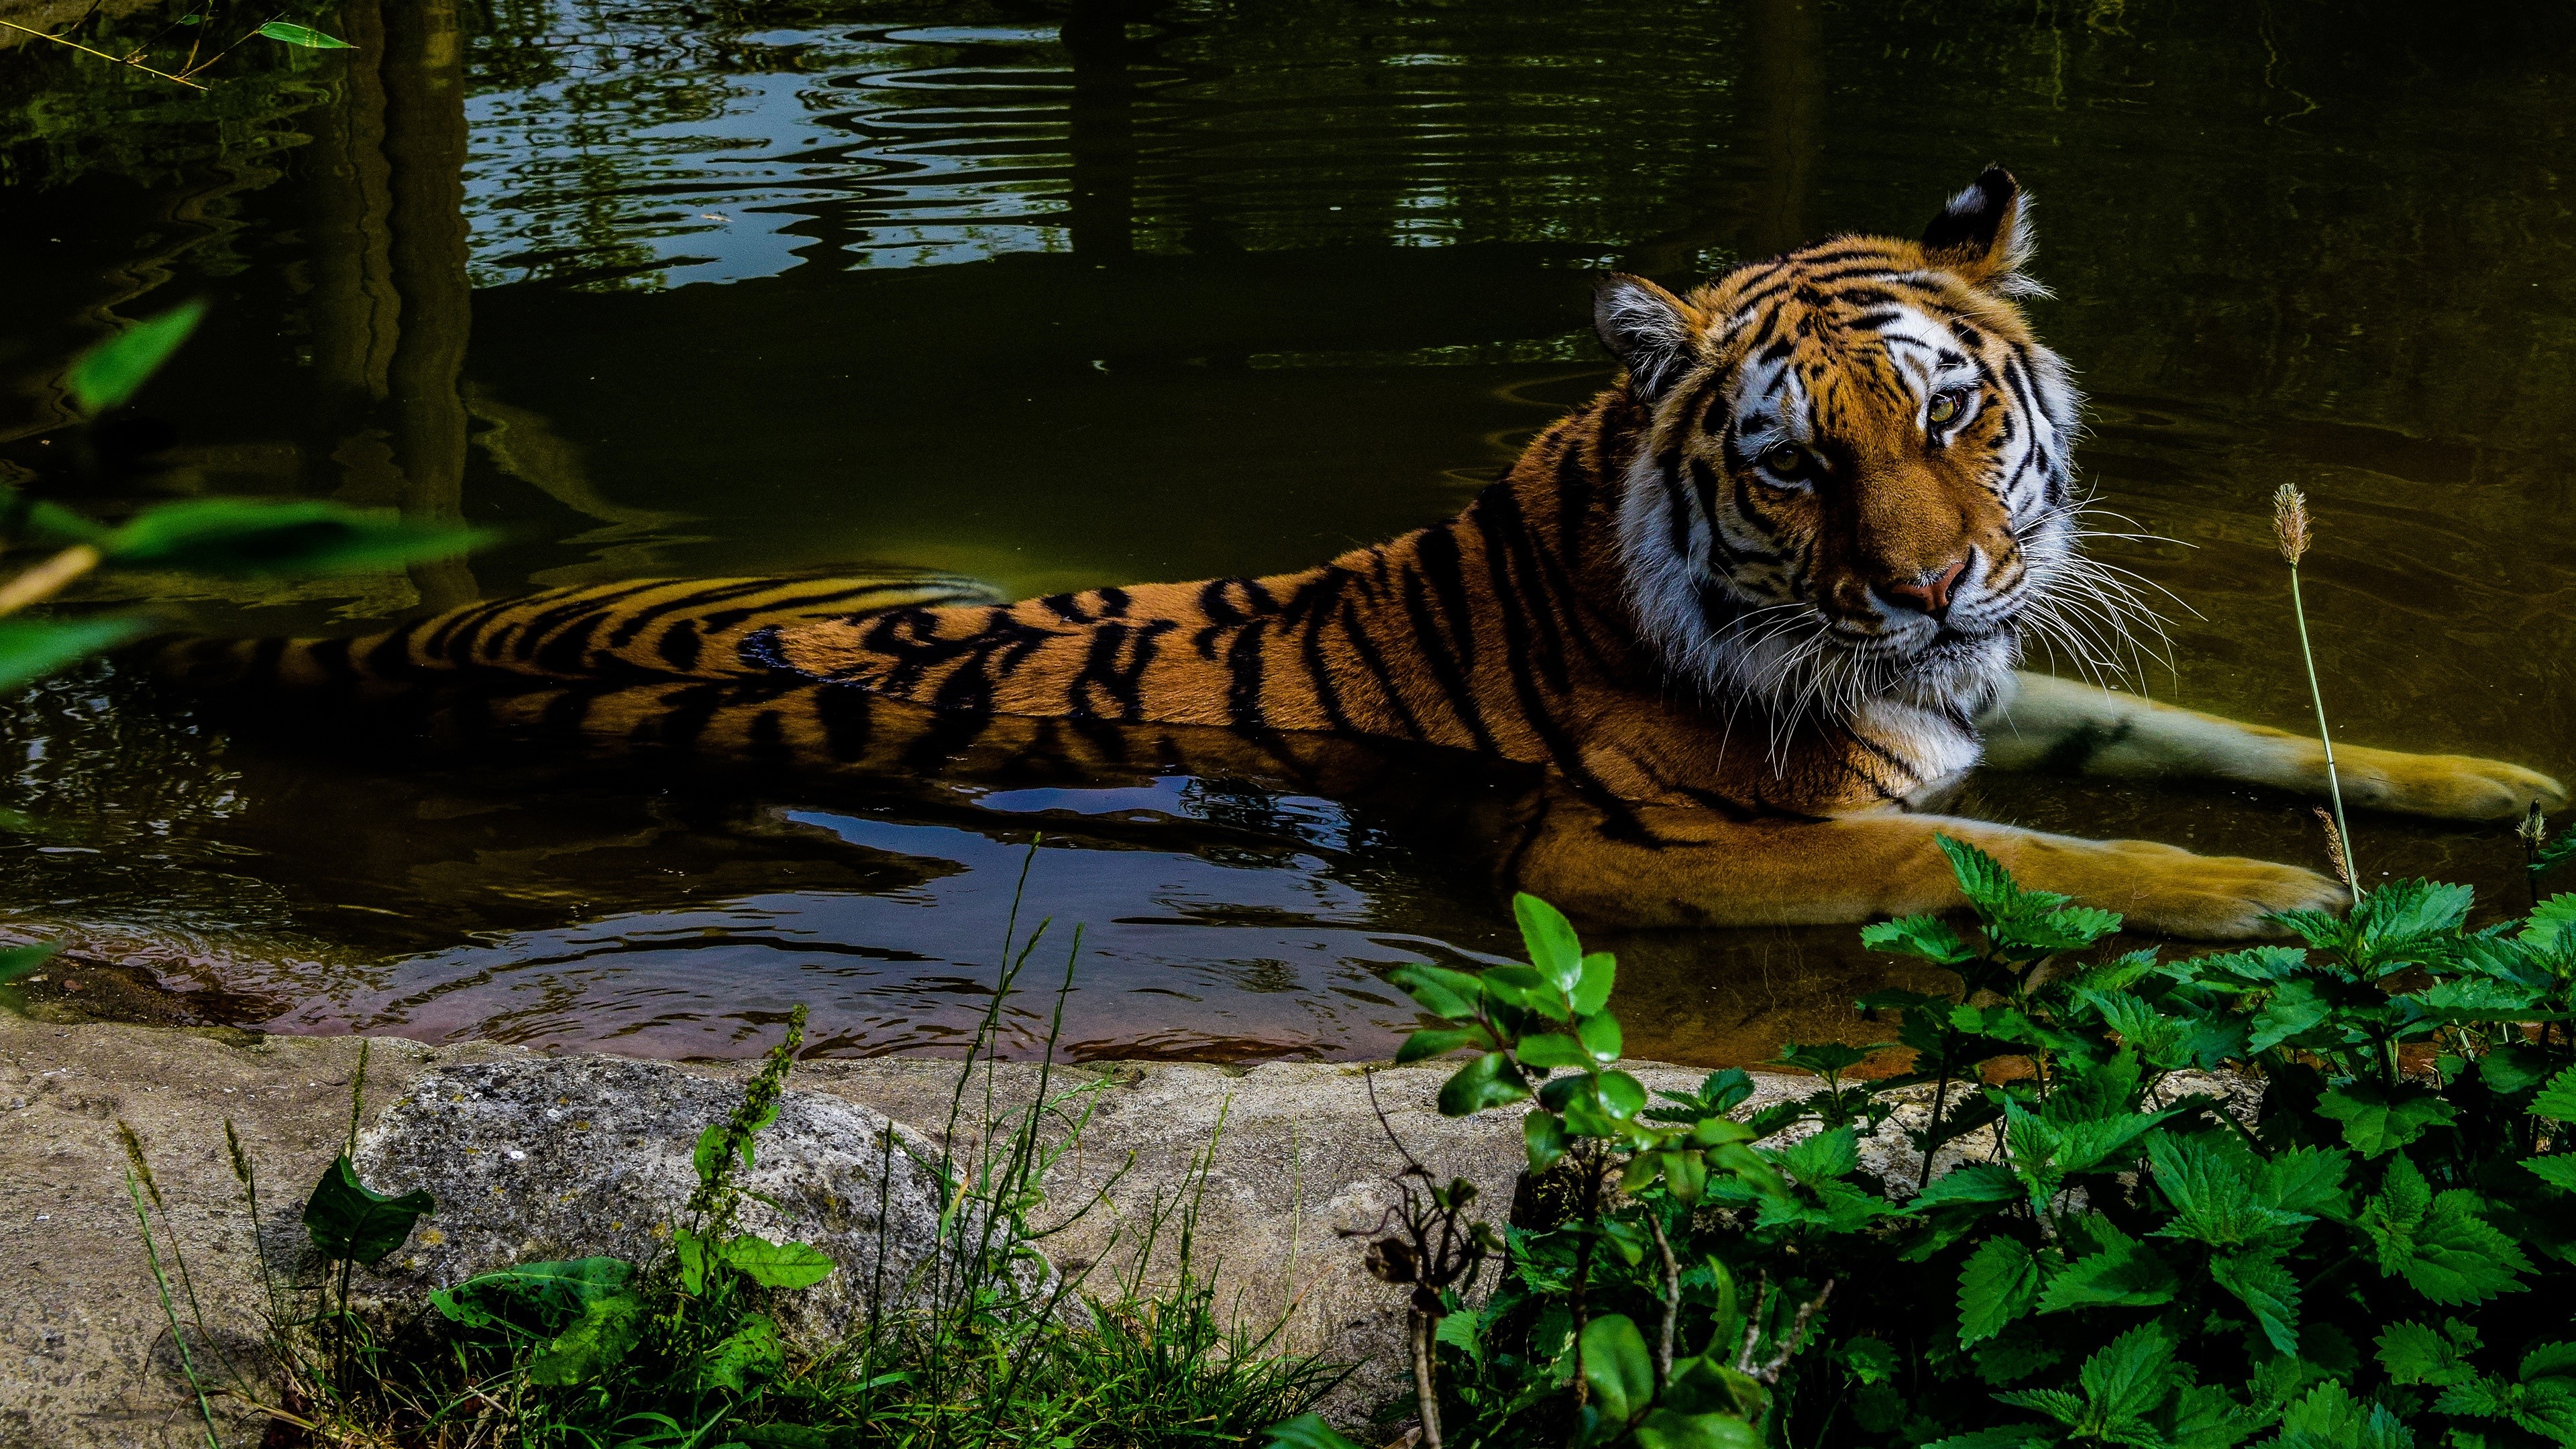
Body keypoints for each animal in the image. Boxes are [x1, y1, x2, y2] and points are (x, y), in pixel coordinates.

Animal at [152, 167, 2565, 939]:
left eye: (1956, 419)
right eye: (1801, 469)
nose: (1931, 584)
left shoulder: (1977, 692)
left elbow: (2218, 730)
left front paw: (2495, 787)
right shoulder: (1643, 847)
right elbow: (2014, 858)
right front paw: (2290, 905)